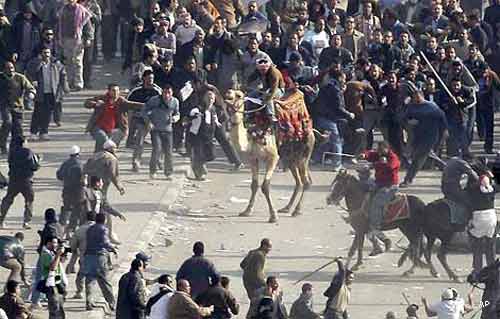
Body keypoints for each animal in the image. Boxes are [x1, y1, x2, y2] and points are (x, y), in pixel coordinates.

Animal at [237, 90, 314, 224]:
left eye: (239, 95)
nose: (228, 95)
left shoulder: (273, 158)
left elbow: (265, 186)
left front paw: (273, 216)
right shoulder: (253, 158)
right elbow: (254, 185)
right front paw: (246, 211)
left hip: (303, 156)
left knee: (306, 182)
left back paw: (296, 210)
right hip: (290, 159)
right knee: (299, 181)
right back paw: (286, 208)